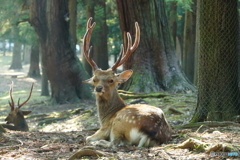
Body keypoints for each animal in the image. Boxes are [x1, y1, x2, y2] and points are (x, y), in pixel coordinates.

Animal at [83, 17, 172, 148]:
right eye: (94, 79)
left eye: (111, 80)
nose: (98, 88)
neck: (106, 117)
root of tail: (152, 133)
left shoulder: (105, 128)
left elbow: (88, 137)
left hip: (120, 121)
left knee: (116, 142)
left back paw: (99, 143)